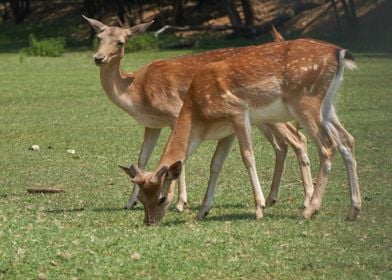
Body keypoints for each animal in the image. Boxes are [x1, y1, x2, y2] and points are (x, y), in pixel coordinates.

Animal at [82, 15, 312, 214]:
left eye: (120, 42)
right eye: (99, 37)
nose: (99, 58)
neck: (136, 90)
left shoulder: (174, 113)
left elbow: (177, 159)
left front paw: (180, 202)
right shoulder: (152, 124)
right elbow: (142, 157)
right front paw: (130, 202)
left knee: (298, 138)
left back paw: (306, 200)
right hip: (263, 116)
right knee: (282, 144)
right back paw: (274, 198)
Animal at [120, 37, 362, 225]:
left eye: (161, 198)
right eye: (141, 199)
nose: (149, 222)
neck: (198, 117)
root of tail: (340, 53)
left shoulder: (238, 111)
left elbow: (247, 157)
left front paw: (259, 208)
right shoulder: (226, 131)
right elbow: (216, 164)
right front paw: (203, 210)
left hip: (305, 101)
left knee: (327, 146)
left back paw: (310, 210)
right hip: (327, 105)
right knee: (347, 140)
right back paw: (353, 210)